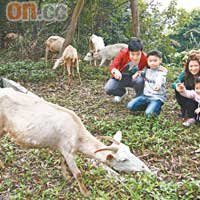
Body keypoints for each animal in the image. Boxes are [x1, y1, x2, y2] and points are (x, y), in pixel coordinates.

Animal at [0, 88, 152, 196]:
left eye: (131, 152)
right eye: (123, 160)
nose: (146, 169)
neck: (78, 134)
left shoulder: (63, 148)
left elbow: (62, 162)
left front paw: (66, 177)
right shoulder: (68, 150)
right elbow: (78, 173)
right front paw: (85, 192)